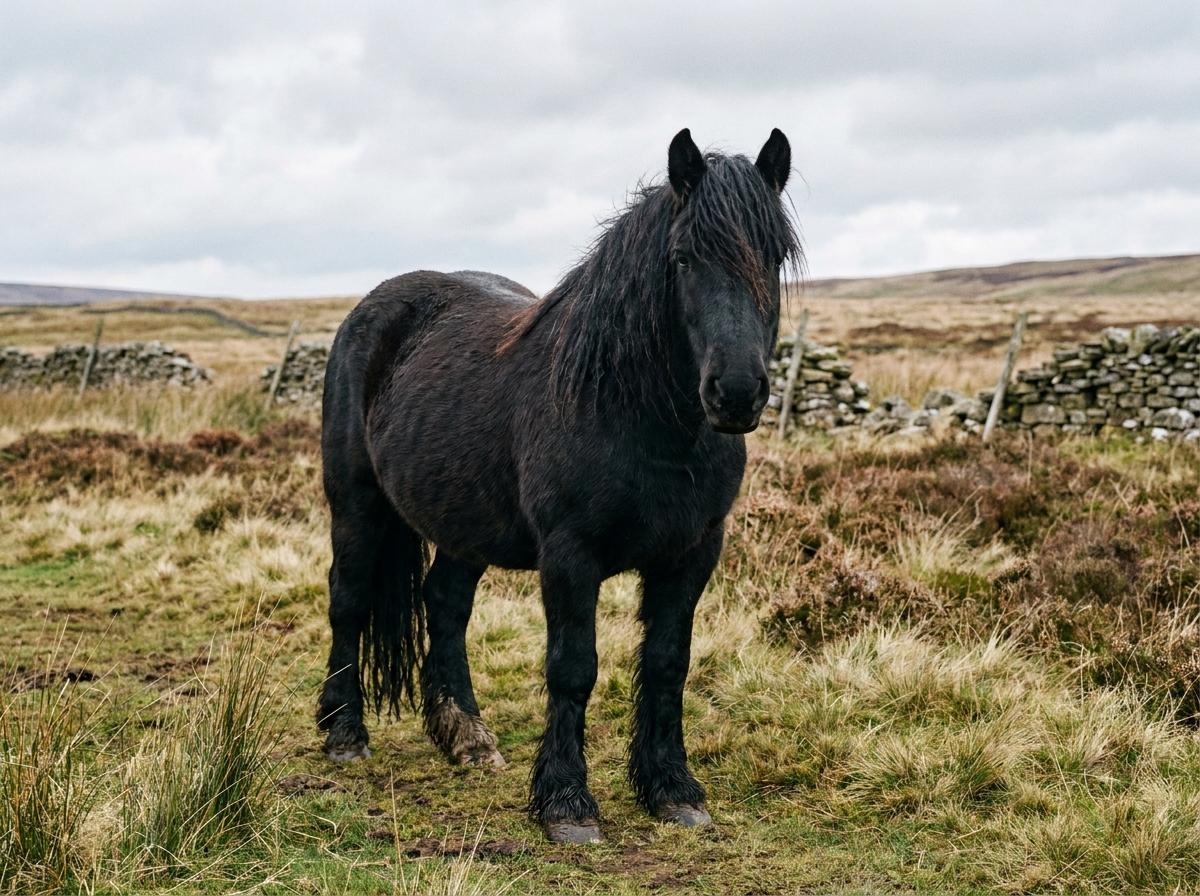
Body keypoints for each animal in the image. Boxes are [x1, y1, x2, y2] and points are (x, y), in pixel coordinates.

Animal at [317, 128, 800, 843]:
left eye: (774, 257)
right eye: (682, 259)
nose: (736, 393)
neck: (639, 416)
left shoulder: (692, 554)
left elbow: (668, 663)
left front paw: (672, 789)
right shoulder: (570, 555)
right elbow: (573, 669)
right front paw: (567, 803)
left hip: (464, 523)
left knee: (445, 605)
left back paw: (467, 737)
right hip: (356, 504)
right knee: (348, 601)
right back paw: (344, 733)